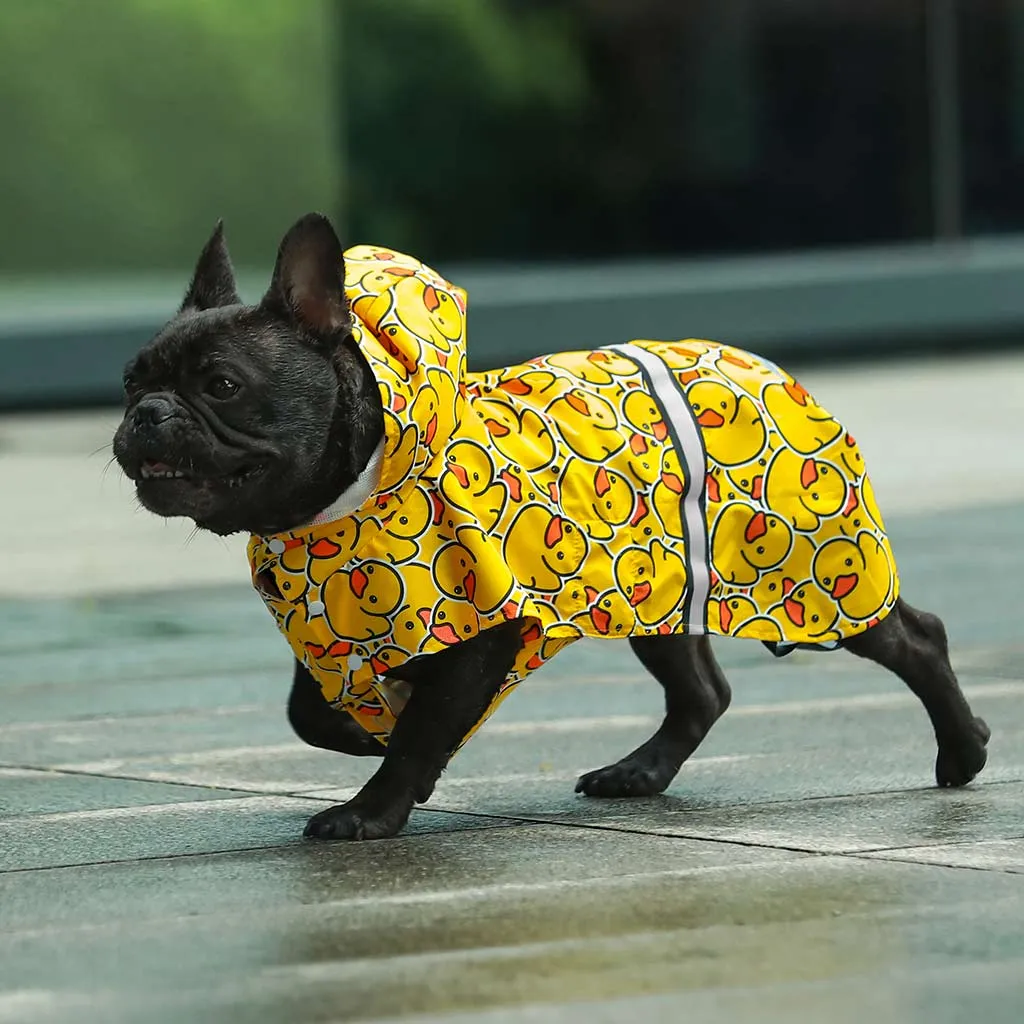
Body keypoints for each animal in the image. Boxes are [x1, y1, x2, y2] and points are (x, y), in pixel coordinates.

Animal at [114, 214, 991, 839]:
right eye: (129, 381)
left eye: (221, 385)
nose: (147, 413)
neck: (337, 509)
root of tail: (765, 368)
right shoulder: (333, 627)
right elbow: (314, 709)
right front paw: (367, 736)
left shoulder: (486, 628)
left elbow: (425, 727)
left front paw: (373, 807)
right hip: (661, 590)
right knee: (701, 689)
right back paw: (639, 773)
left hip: (813, 573)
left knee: (914, 638)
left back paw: (964, 748)